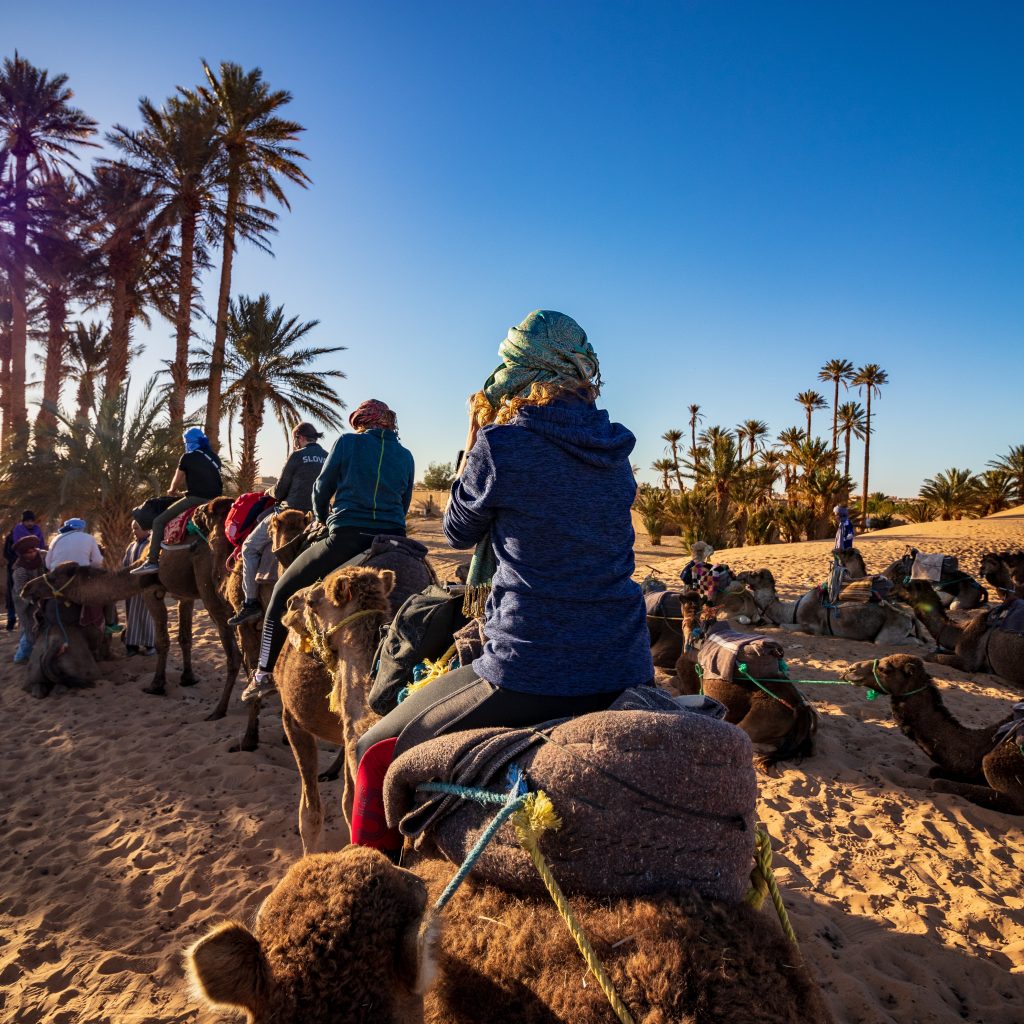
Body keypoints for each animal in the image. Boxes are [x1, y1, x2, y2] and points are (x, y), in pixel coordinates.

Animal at [729, 573, 929, 643]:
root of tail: (910, 617)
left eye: (754, 574)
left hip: (891, 629)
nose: (740, 575)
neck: (791, 610)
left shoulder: (814, 626)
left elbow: (784, 626)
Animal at [839, 655, 1024, 815]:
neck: (984, 743)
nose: (850, 669)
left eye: (884, 669)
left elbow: (938, 783)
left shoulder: (996, 769)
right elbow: (934, 771)